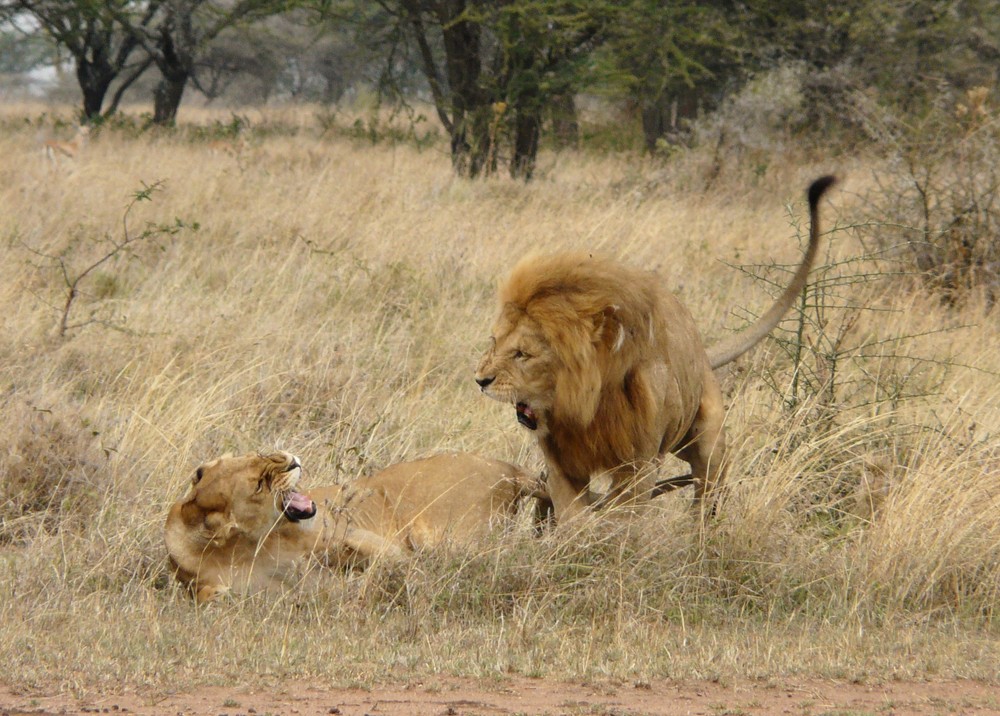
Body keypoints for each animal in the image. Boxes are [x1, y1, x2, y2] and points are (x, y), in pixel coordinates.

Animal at [166, 450, 540, 600]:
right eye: (259, 484)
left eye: (253, 456)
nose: (290, 460)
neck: (247, 547)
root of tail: (510, 470)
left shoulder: (346, 532)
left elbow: (389, 564)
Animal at [476, 175, 836, 520]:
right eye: (494, 343)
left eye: (522, 354)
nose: (480, 380)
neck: (585, 409)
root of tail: (703, 357)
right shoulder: (563, 463)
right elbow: (573, 515)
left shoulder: (639, 464)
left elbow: (624, 516)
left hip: (707, 443)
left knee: (707, 490)